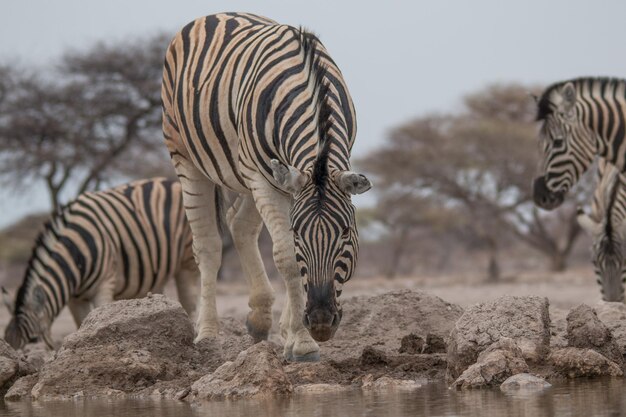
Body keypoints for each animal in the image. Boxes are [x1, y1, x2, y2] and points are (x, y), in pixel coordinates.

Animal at [1, 177, 197, 350]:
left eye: (33, 340)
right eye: (7, 340)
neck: (75, 256)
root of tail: (171, 181)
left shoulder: (104, 286)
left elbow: (101, 320)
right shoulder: (74, 299)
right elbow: (82, 324)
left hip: (187, 261)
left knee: (191, 301)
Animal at [160, 11, 370, 360]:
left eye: (345, 233)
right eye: (298, 234)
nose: (321, 323)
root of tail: (213, 15)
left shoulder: (283, 177)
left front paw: (290, 333)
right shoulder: (264, 180)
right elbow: (286, 257)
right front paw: (303, 343)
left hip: (251, 175)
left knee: (238, 225)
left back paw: (260, 320)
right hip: (187, 157)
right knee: (207, 245)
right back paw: (207, 335)